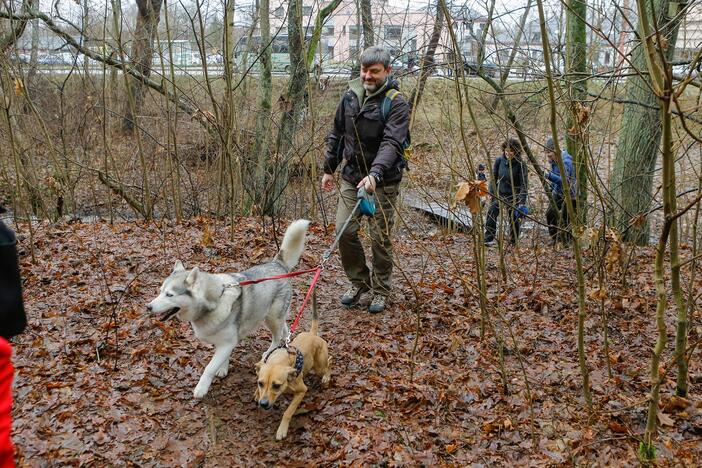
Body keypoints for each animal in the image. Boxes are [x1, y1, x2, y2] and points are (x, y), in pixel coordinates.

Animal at [147, 219, 312, 398]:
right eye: (160, 291)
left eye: (169, 295)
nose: (148, 307)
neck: (216, 300)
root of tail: (277, 263)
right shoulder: (225, 341)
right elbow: (223, 357)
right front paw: (223, 368)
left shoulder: (227, 342)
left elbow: (209, 368)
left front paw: (202, 388)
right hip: (271, 316)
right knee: (284, 329)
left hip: (272, 318)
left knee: (276, 337)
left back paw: (269, 353)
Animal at [256, 294, 332, 440]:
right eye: (260, 383)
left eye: (276, 385)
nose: (263, 404)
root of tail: (312, 334)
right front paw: (257, 393)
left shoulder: (301, 391)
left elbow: (288, 412)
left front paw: (282, 429)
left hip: (319, 366)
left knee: (328, 365)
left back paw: (326, 377)